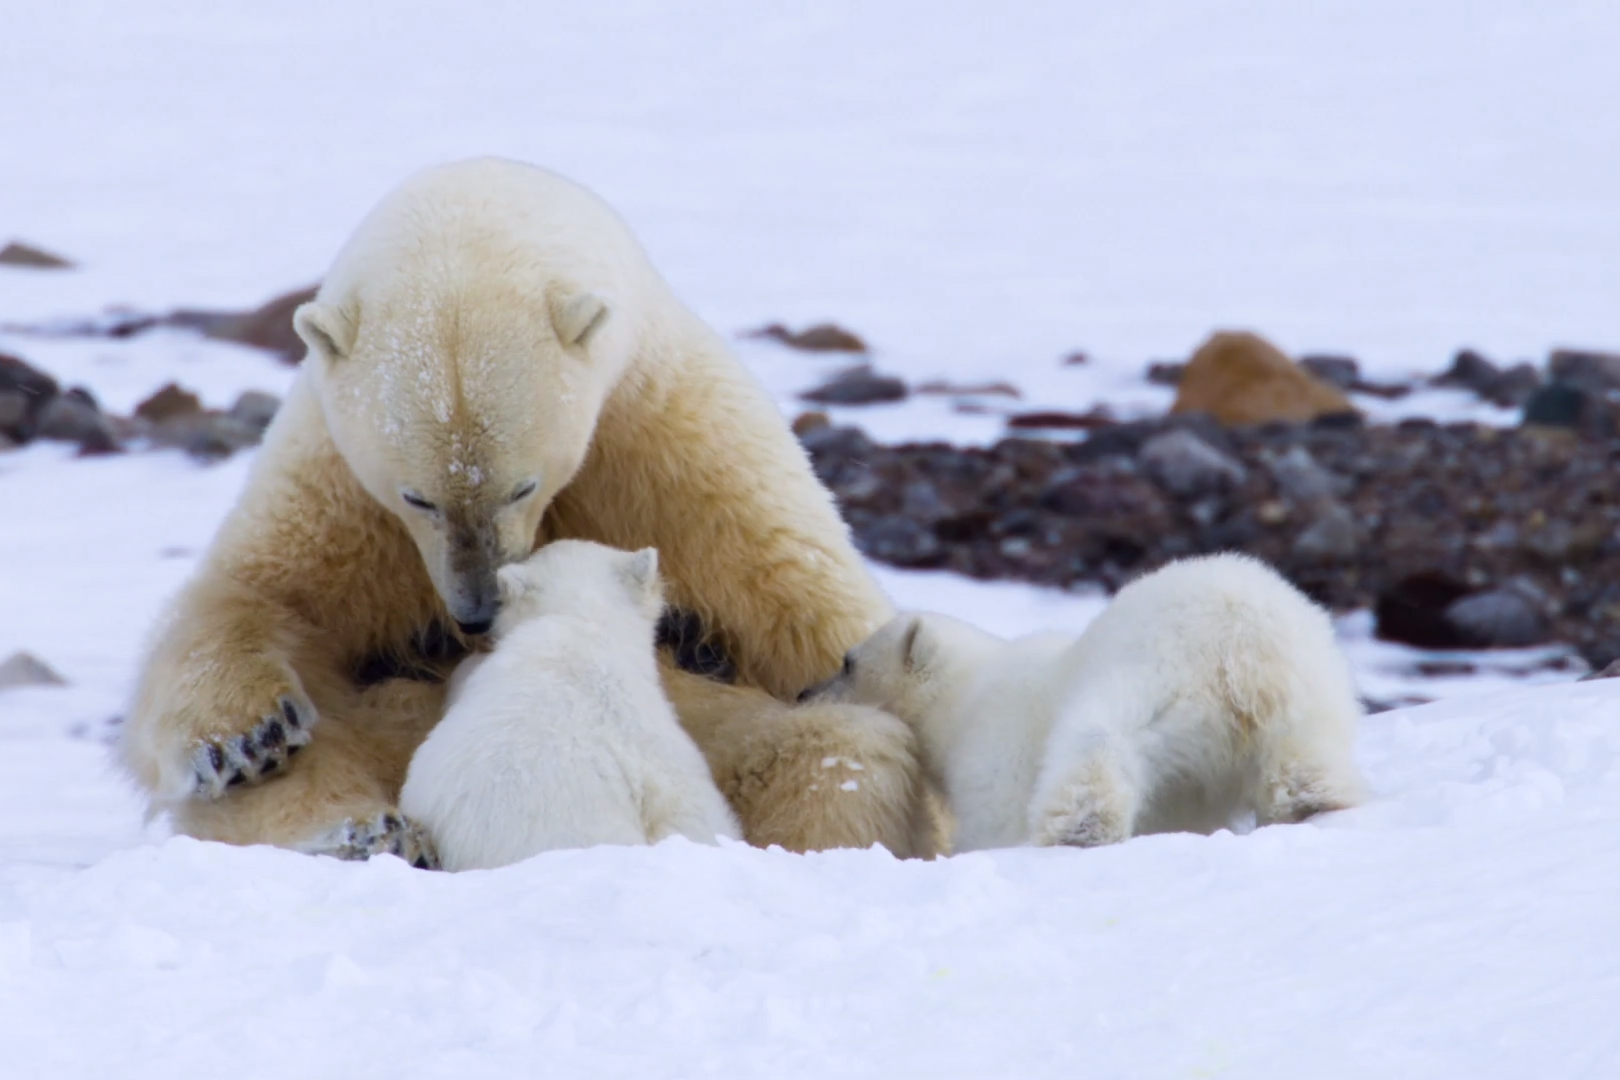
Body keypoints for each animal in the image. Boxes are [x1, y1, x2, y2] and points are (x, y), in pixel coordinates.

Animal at [117, 158, 926, 861]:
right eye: (417, 495)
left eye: (522, 485)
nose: (473, 613)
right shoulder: (334, 480)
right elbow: (255, 596)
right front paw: (248, 736)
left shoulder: (678, 446)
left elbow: (808, 612)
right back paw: (363, 833)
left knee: (836, 751)